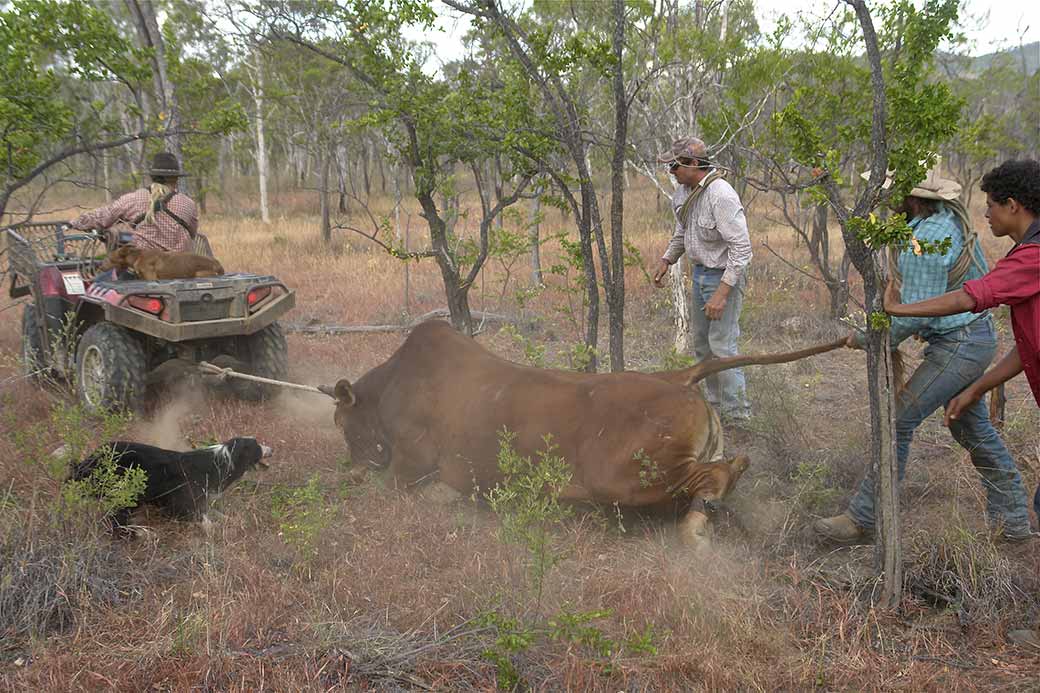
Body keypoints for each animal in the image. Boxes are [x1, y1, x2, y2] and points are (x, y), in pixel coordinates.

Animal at [321, 321, 844, 547]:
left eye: (341, 425)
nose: (352, 455)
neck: (389, 387)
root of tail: (677, 377)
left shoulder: (404, 467)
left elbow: (361, 485)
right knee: (733, 464)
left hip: (616, 476)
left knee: (713, 477)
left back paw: (695, 530)